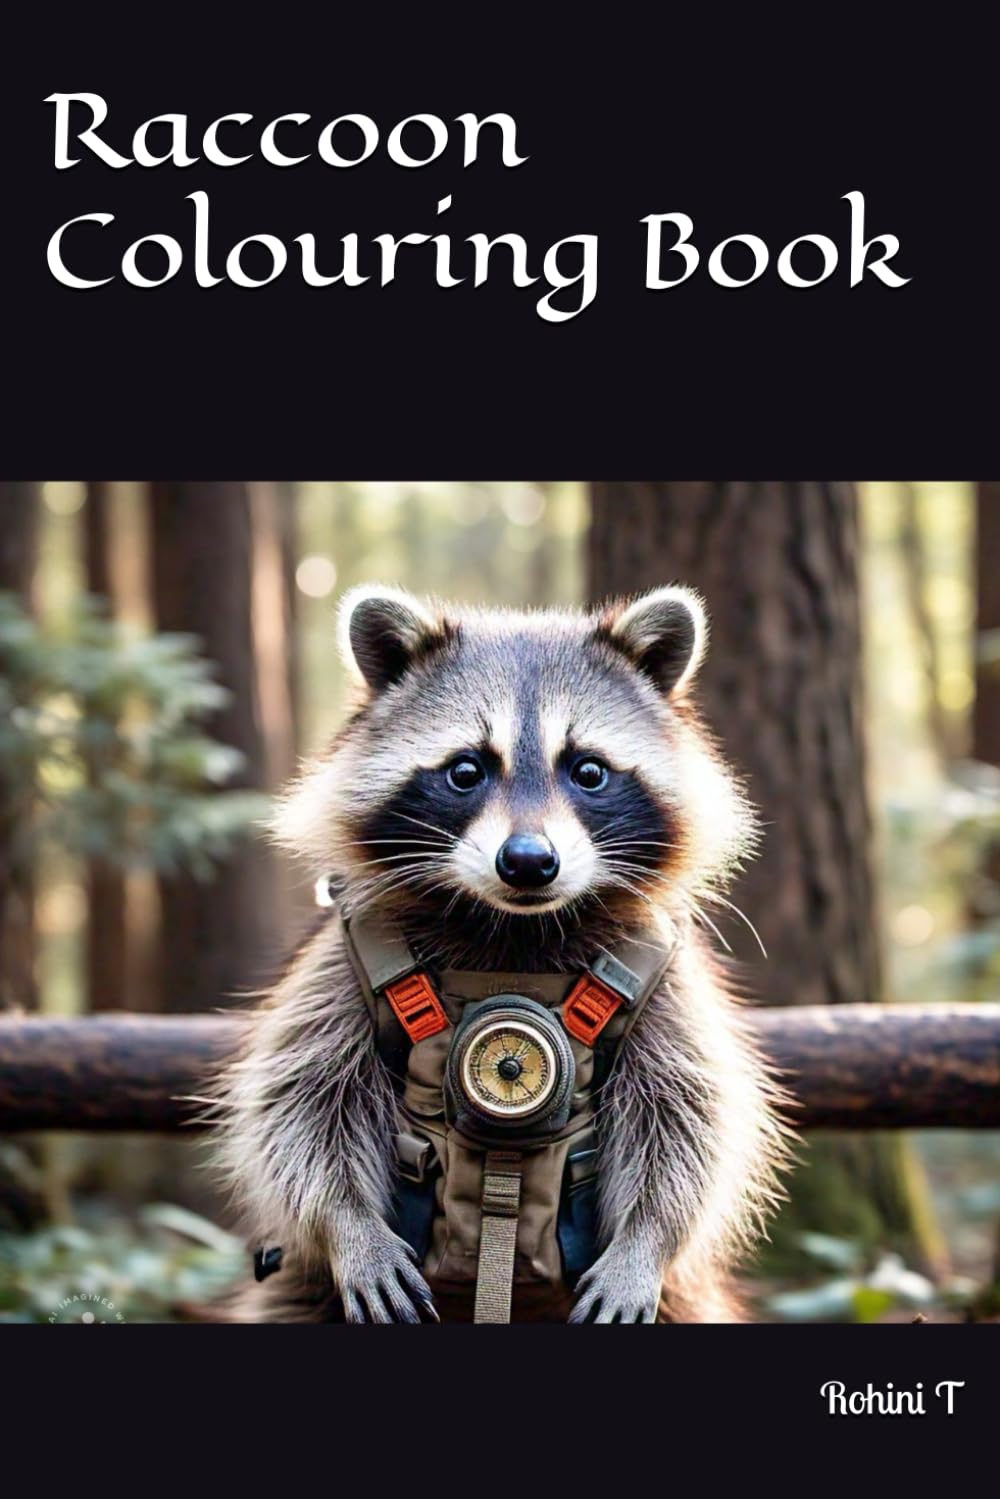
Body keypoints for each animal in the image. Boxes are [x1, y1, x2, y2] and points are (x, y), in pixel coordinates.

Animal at [214, 583, 789, 1323]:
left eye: (589, 770)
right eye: (466, 769)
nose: (528, 861)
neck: (514, 930)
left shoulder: (662, 976)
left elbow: (691, 1114)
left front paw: (647, 1240)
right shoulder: (347, 958)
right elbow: (300, 1100)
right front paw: (348, 1226)